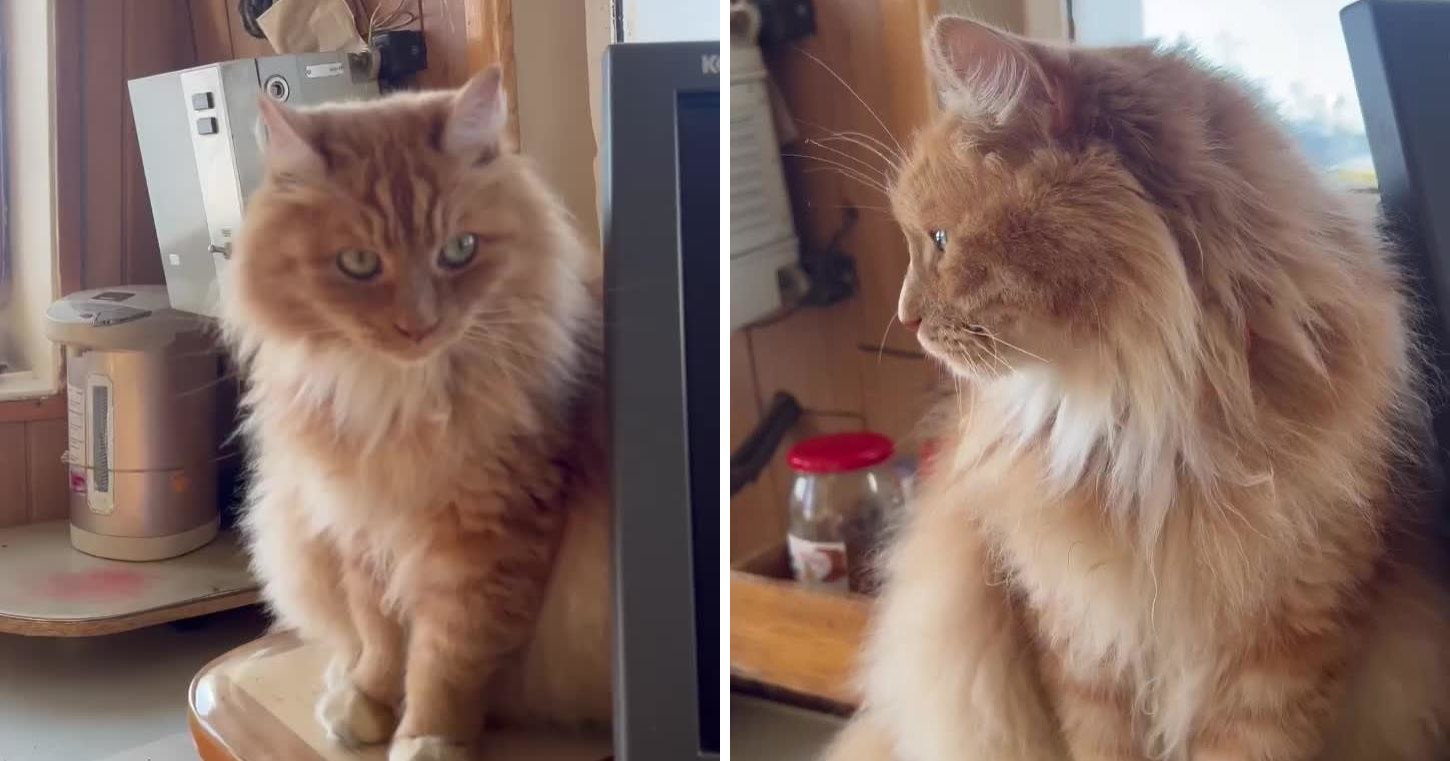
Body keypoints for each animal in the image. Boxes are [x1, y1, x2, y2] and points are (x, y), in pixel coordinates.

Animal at [221, 66, 611, 761]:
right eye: (358, 264)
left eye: (459, 250)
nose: (418, 325)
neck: (394, 401)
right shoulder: (357, 523)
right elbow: (380, 635)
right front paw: (369, 701)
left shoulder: (485, 541)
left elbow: (446, 658)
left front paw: (428, 736)